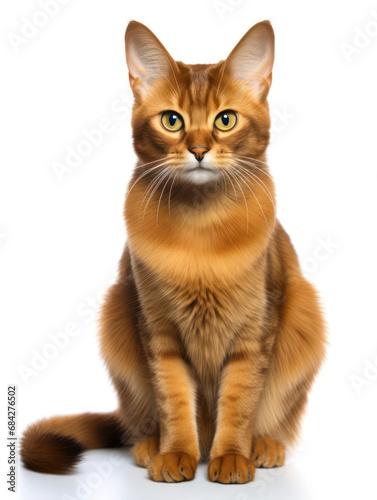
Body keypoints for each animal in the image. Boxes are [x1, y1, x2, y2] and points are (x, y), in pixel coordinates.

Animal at [21, 20, 326, 484]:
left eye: (225, 120)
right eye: (172, 121)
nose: (198, 149)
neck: (199, 234)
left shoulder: (254, 332)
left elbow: (239, 402)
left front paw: (231, 457)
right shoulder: (158, 330)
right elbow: (174, 400)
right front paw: (176, 453)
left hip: (304, 313)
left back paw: (262, 446)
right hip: (116, 311)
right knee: (141, 420)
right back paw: (151, 446)